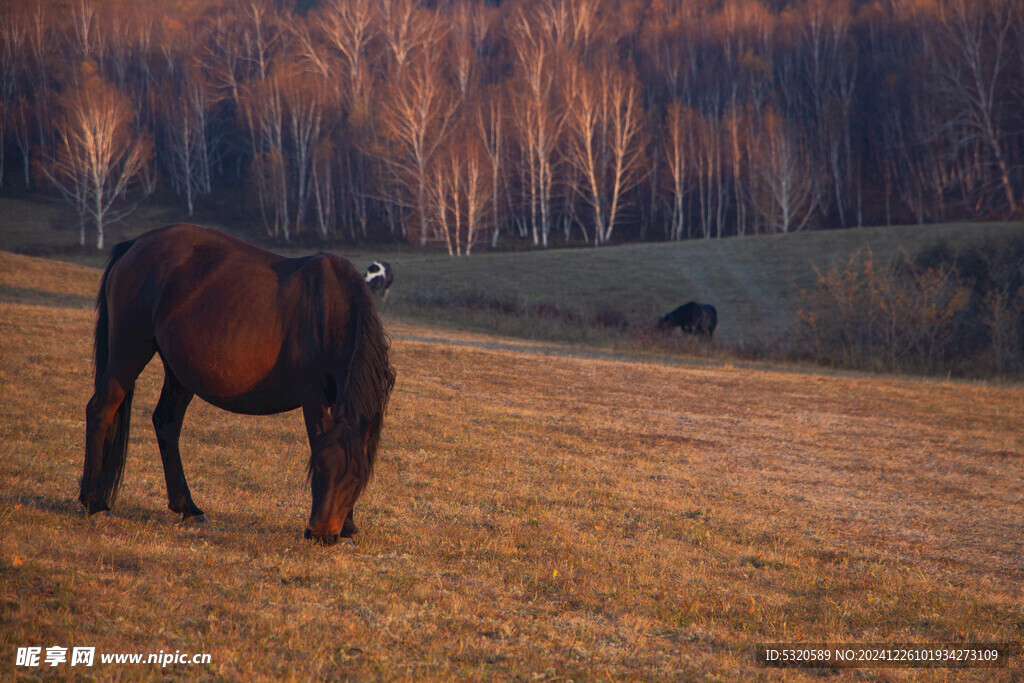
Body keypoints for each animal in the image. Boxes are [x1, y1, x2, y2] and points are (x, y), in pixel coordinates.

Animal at [75, 224, 393, 544]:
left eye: (356, 477)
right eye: (315, 469)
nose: (321, 534)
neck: (328, 310)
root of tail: (136, 243)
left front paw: (349, 526)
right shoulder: (312, 395)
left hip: (179, 372)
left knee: (166, 423)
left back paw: (188, 508)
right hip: (128, 351)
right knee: (101, 409)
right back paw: (95, 503)